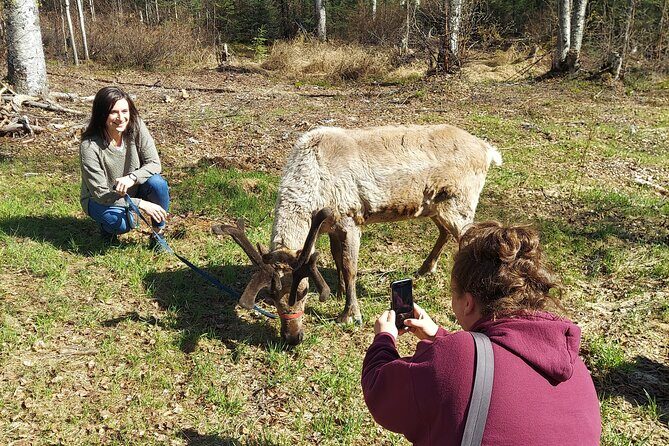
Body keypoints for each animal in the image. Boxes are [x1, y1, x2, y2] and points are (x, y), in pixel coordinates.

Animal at [213, 124, 502, 345]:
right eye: (271, 297)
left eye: (304, 292)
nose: (292, 337)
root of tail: (489, 151)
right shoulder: (330, 225)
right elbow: (336, 258)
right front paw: (339, 291)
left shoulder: (351, 218)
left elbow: (351, 266)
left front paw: (350, 314)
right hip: (436, 206)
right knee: (444, 232)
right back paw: (425, 268)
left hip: (461, 203)